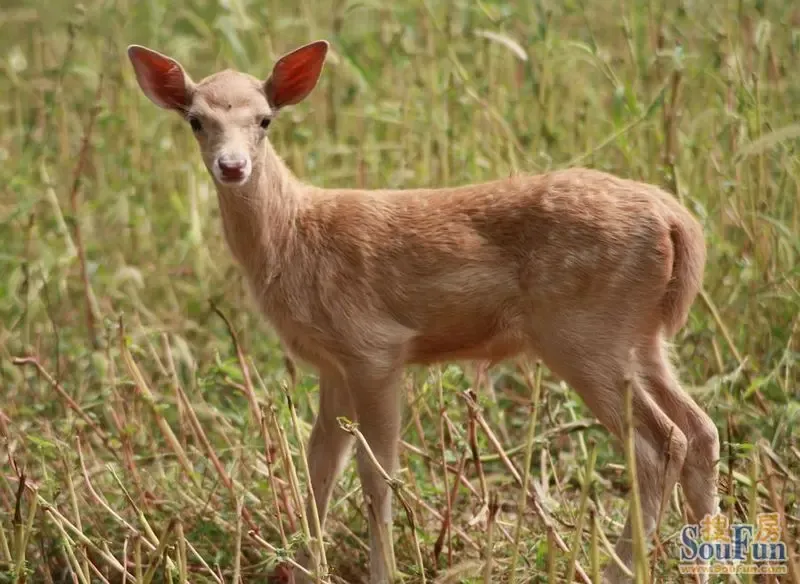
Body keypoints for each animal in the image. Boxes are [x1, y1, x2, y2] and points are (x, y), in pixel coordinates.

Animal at [127, 39, 720, 583]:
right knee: (701, 429)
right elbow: (319, 470)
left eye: (265, 120)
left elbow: (377, 476)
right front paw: (302, 569)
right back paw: (706, 562)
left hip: (583, 331)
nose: (232, 166)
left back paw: (621, 569)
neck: (292, 238)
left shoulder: (374, 348)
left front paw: (380, 573)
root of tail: (677, 221)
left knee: (657, 443)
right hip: (640, 337)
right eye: (196, 121)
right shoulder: (332, 365)